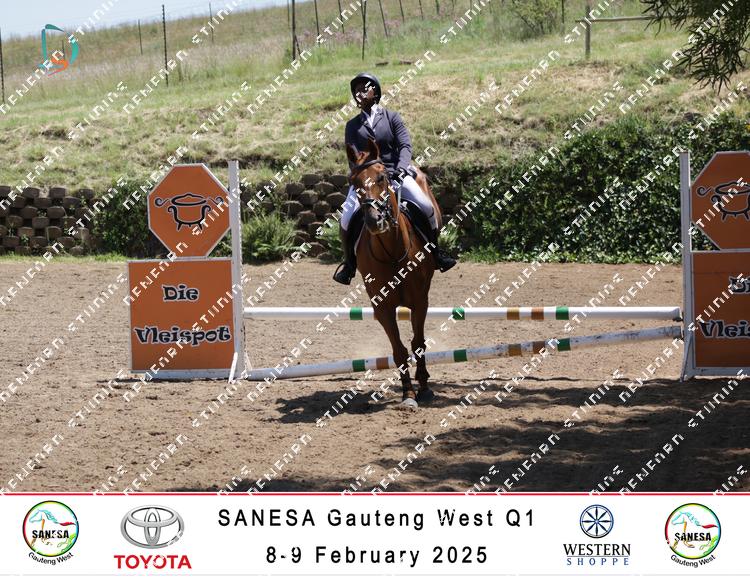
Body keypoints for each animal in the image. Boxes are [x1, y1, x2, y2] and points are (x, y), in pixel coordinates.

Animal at [346, 137, 440, 408]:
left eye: (381, 178)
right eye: (354, 182)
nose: (374, 220)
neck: (391, 251)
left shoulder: (420, 301)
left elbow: (418, 343)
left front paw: (424, 388)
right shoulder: (383, 307)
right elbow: (399, 350)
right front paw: (408, 394)